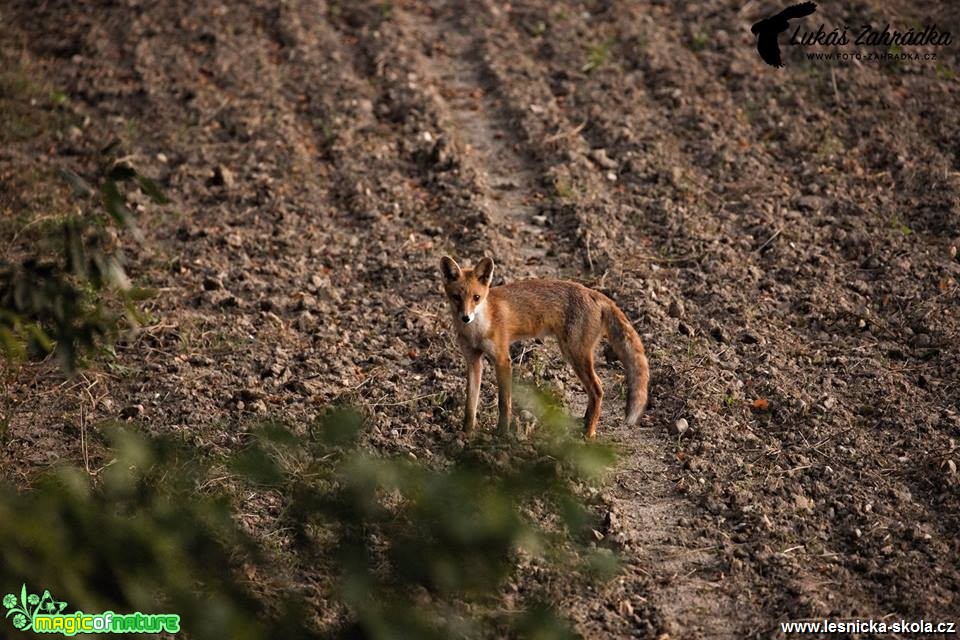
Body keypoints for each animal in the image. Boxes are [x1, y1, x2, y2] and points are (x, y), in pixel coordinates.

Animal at [438, 255, 648, 440]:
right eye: (456, 297)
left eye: (476, 297)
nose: (466, 317)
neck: (477, 330)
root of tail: (593, 292)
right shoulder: (473, 360)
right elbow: (470, 404)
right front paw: (466, 433)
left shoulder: (503, 360)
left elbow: (504, 403)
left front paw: (502, 433)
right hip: (572, 354)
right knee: (593, 392)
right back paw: (584, 424)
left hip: (575, 354)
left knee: (597, 390)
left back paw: (589, 433)